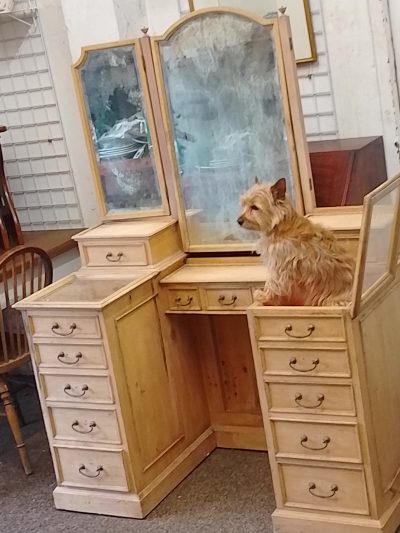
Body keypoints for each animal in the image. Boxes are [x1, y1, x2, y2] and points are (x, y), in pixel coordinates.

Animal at [236, 178, 354, 306]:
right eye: (244, 204)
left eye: (254, 207)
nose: (239, 221)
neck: (279, 225)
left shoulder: (279, 265)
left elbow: (273, 283)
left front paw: (265, 297)